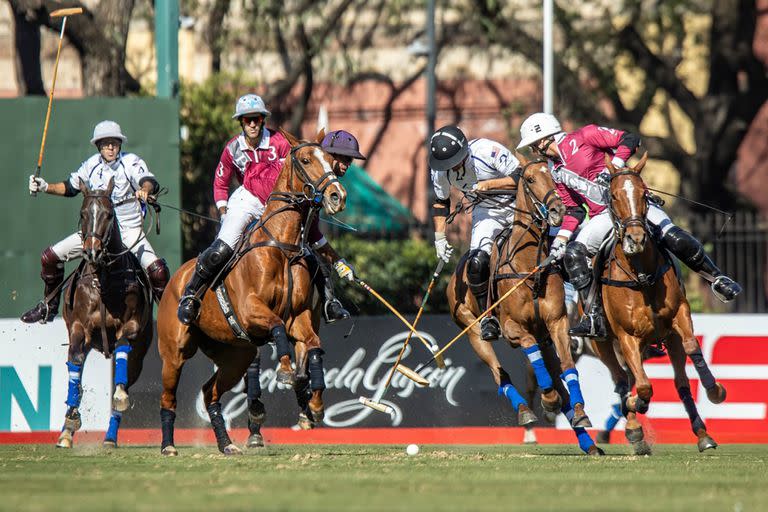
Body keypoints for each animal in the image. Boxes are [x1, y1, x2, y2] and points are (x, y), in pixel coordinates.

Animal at [56, 179, 153, 448]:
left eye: (109, 215)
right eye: (83, 213)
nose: (92, 252)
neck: (103, 278)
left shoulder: (130, 325)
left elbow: (121, 347)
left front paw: (119, 397)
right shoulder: (79, 328)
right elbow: (75, 363)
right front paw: (70, 419)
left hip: (140, 354)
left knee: (126, 374)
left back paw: (110, 436)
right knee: (76, 366)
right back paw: (65, 432)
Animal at [158, 130, 346, 454]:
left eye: (332, 161)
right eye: (306, 160)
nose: (338, 196)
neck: (283, 245)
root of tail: (174, 280)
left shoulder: (299, 316)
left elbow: (313, 345)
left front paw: (315, 403)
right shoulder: (250, 310)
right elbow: (277, 327)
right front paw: (285, 372)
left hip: (235, 354)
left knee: (209, 392)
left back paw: (226, 444)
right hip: (174, 352)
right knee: (168, 398)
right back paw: (169, 445)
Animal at [448, 156, 604, 456]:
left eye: (554, 177)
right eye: (530, 179)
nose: (557, 209)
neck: (529, 266)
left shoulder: (556, 323)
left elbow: (568, 367)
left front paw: (578, 412)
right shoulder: (513, 329)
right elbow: (533, 362)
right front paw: (547, 401)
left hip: (544, 339)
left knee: (556, 377)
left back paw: (587, 442)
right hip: (472, 331)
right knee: (501, 375)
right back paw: (525, 411)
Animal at [592, 154, 728, 454]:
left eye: (644, 194)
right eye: (614, 196)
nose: (636, 239)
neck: (641, 274)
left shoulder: (679, 314)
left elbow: (692, 346)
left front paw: (714, 390)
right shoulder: (626, 336)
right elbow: (643, 387)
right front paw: (636, 406)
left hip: (664, 339)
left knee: (680, 382)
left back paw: (703, 435)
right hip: (603, 343)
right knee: (622, 380)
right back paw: (634, 428)